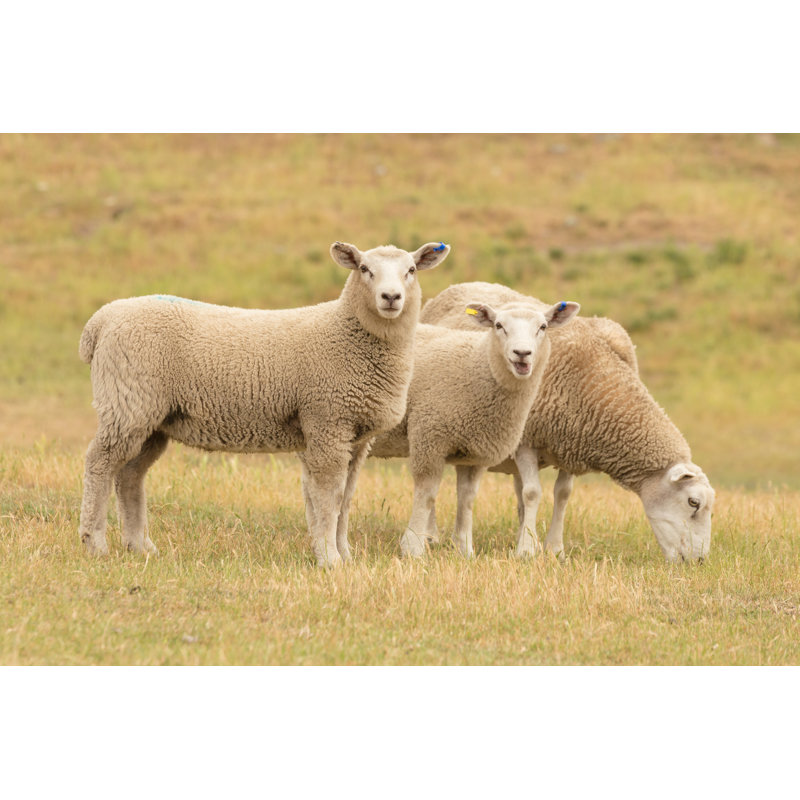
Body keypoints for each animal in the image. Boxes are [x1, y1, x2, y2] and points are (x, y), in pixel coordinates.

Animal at [77, 241, 450, 568]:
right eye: (364, 269)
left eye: (411, 270)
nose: (391, 297)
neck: (347, 333)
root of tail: (100, 321)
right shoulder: (327, 421)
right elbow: (328, 497)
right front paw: (329, 559)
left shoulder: (356, 436)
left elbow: (345, 499)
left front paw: (345, 555)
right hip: (127, 402)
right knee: (99, 464)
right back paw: (95, 543)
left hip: (153, 418)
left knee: (129, 475)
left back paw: (140, 546)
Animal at [369, 299, 579, 557]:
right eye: (499, 325)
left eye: (543, 327)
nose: (522, 354)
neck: (477, 364)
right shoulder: (429, 437)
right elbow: (427, 495)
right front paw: (413, 548)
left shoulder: (475, 450)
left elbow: (467, 497)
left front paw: (464, 549)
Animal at [420, 281, 715, 563]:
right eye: (693, 502)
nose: (700, 561)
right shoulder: (527, 441)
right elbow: (533, 493)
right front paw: (526, 551)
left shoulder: (571, 442)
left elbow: (561, 494)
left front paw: (553, 549)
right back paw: (431, 535)